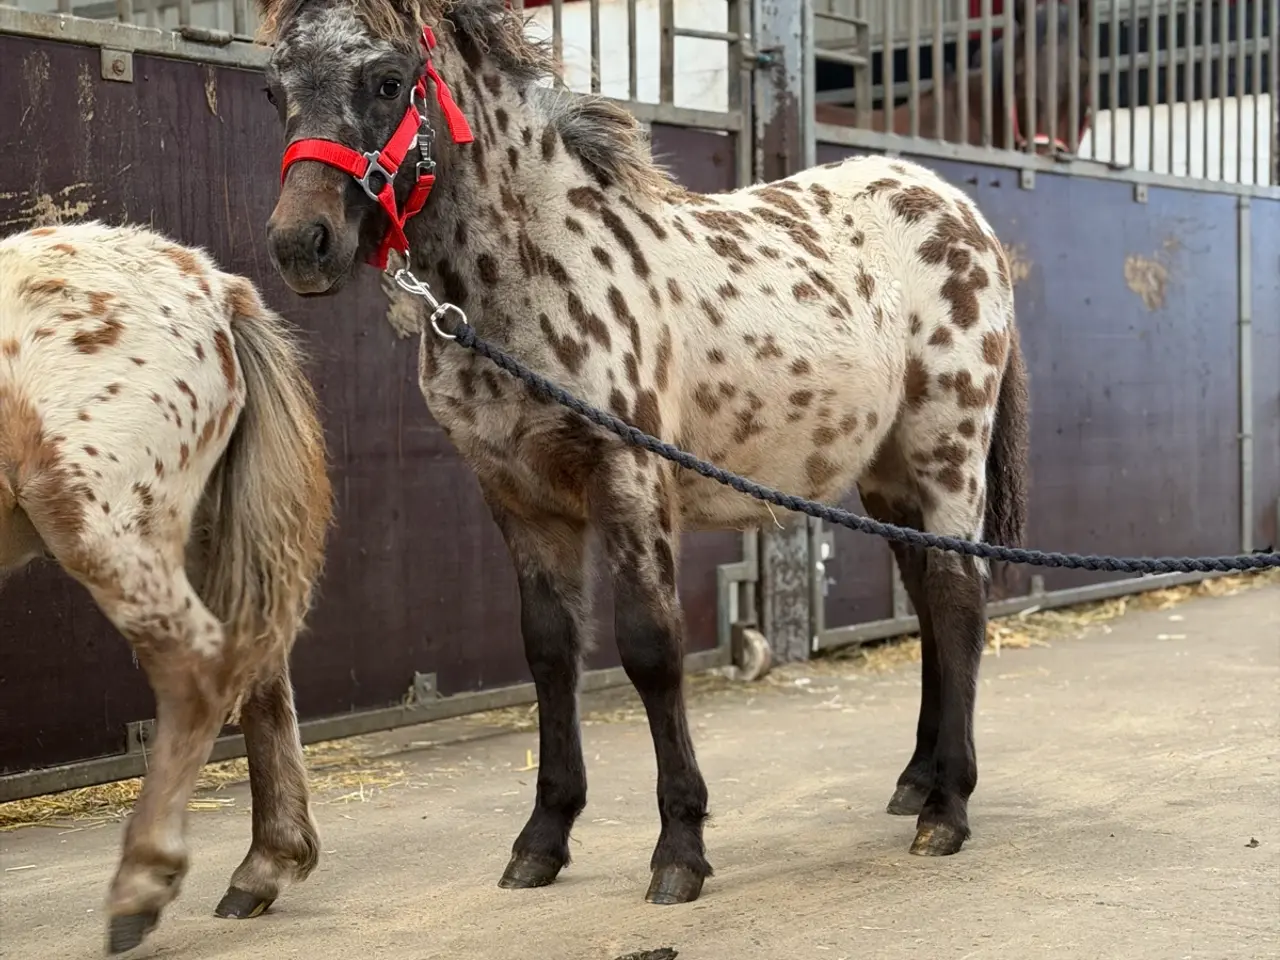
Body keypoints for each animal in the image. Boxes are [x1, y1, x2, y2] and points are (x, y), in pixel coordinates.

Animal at [0, 221, 333, 954]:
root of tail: (214, 288)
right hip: (204, 527)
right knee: (258, 665)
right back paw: (263, 867)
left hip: (107, 526)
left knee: (197, 668)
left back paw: (142, 886)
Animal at [257, 0, 1030, 910]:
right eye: (273, 86)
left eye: (386, 79)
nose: (301, 244)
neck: (538, 271)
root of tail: (957, 207)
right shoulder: (516, 496)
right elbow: (550, 651)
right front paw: (542, 839)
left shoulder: (628, 480)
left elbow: (651, 648)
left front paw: (679, 849)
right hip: (889, 475)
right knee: (928, 599)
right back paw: (917, 780)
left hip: (948, 449)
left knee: (958, 600)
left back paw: (948, 807)